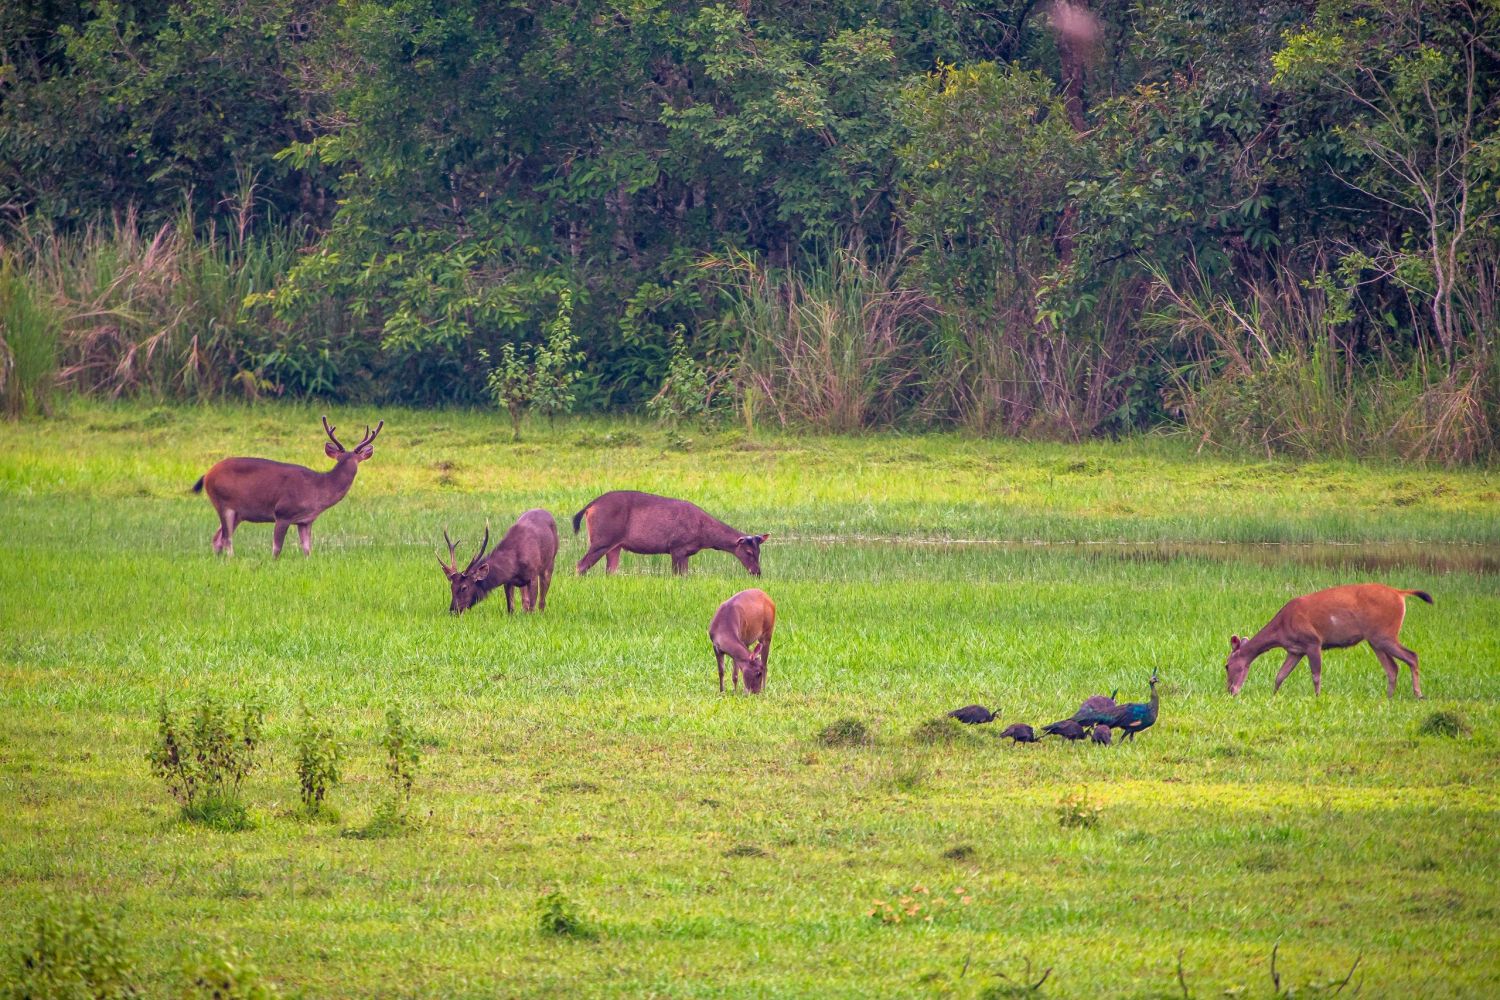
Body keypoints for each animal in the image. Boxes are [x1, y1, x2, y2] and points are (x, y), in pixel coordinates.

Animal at [190, 413, 381, 554]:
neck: (318, 488)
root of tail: (207, 474)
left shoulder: (306, 521)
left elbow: (307, 550)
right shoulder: (283, 512)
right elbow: (276, 548)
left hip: (237, 513)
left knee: (217, 538)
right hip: (222, 501)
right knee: (226, 538)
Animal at [567, 491, 768, 578]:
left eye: (759, 552)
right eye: (748, 552)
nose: (757, 572)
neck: (704, 535)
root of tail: (589, 507)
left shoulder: (686, 552)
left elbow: (685, 576)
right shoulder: (676, 546)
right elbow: (676, 575)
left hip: (615, 545)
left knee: (610, 570)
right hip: (603, 537)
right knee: (581, 564)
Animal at [1224, 581, 1434, 701]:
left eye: (1226, 665)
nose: (1230, 691)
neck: (1281, 628)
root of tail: (1400, 593)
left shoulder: (1313, 641)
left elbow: (1316, 675)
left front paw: (1318, 698)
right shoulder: (1295, 650)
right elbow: (1280, 675)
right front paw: (1272, 697)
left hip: (1384, 633)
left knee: (1412, 656)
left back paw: (1418, 694)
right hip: (1376, 639)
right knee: (1393, 667)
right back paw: (1389, 697)